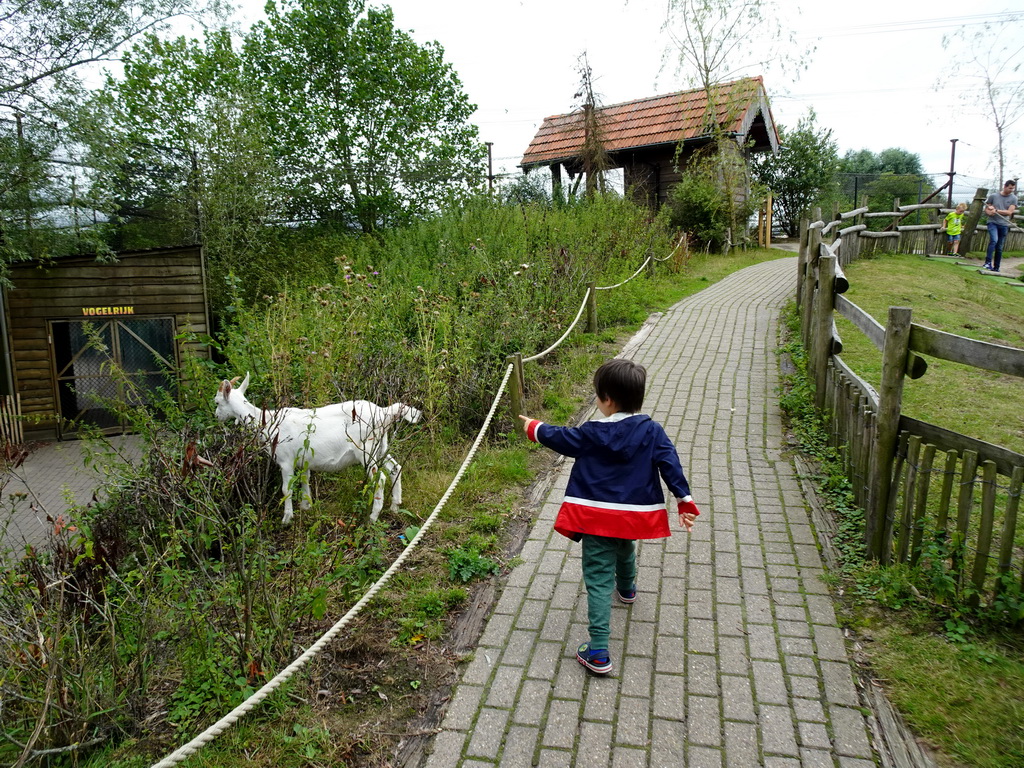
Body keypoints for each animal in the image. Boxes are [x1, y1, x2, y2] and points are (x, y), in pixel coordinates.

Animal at [214, 374, 421, 528]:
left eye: (217, 402)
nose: (216, 416)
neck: (267, 423)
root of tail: (384, 413)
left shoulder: (285, 460)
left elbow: (286, 489)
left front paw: (287, 519)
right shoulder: (303, 459)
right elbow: (305, 480)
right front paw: (307, 506)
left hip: (365, 449)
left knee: (381, 478)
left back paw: (373, 517)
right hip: (380, 447)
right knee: (395, 468)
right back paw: (395, 506)